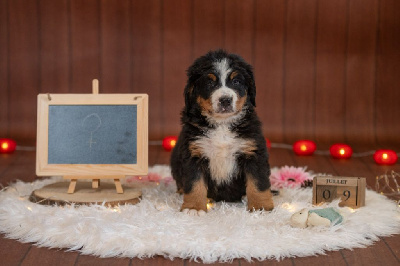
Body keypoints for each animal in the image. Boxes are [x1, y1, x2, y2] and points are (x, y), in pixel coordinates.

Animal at [170, 50, 274, 215]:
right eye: (209, 83)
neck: (222, 125)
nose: (225, 100)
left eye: (236, 81)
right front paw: (194, 207)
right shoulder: (194, 153)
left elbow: (258, 182)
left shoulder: (253, 152)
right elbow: (194, 184)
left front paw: (260, 206)